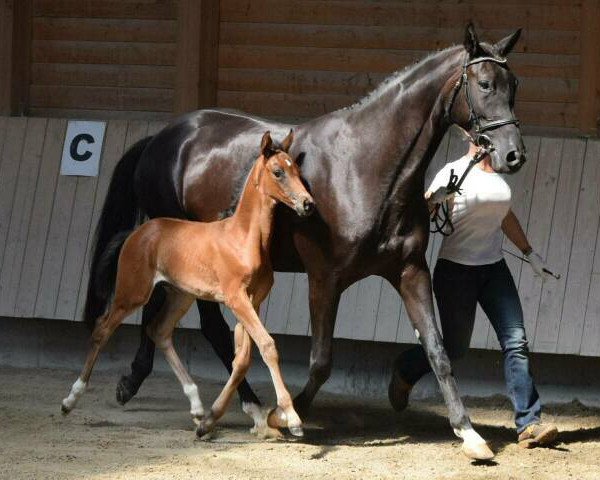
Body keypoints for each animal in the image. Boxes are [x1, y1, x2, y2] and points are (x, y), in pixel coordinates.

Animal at [61, 131, 314, 438]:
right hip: (133, 293)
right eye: (278, 172)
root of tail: (137, 232)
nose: (307, 204)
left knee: (158, 330)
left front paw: (218, 420)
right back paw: (70, 400)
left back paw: (197, 408)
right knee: (102, 329)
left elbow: (241, 358)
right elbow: (266, 346)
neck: (243, 238)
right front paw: (292, 418)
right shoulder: (236, 298)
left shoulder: (253, 300)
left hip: (180, 296)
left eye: (297, 170)